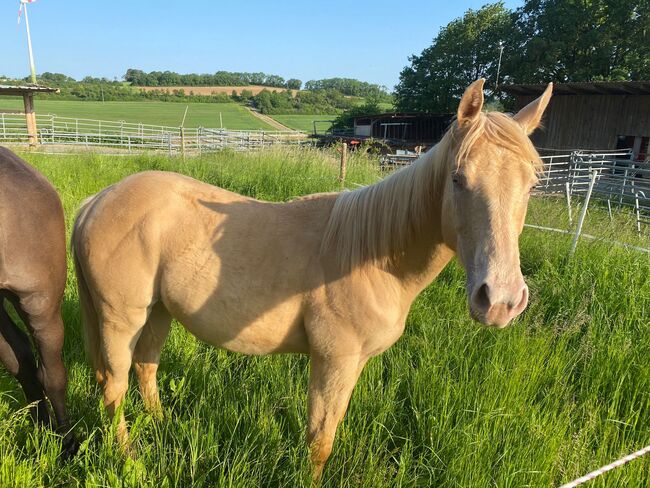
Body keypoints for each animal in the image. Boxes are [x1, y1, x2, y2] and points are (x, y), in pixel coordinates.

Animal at [72, 79, 552, 476]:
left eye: (531, 184)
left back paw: (162, 426)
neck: (371, 257)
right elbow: (320, 441)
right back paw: (128, 456)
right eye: (457, 179)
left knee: (145, 367)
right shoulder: (332, 360)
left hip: (159, 311)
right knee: (114, 386)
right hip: (121, 319)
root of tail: (98, 201)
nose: (500, 300)